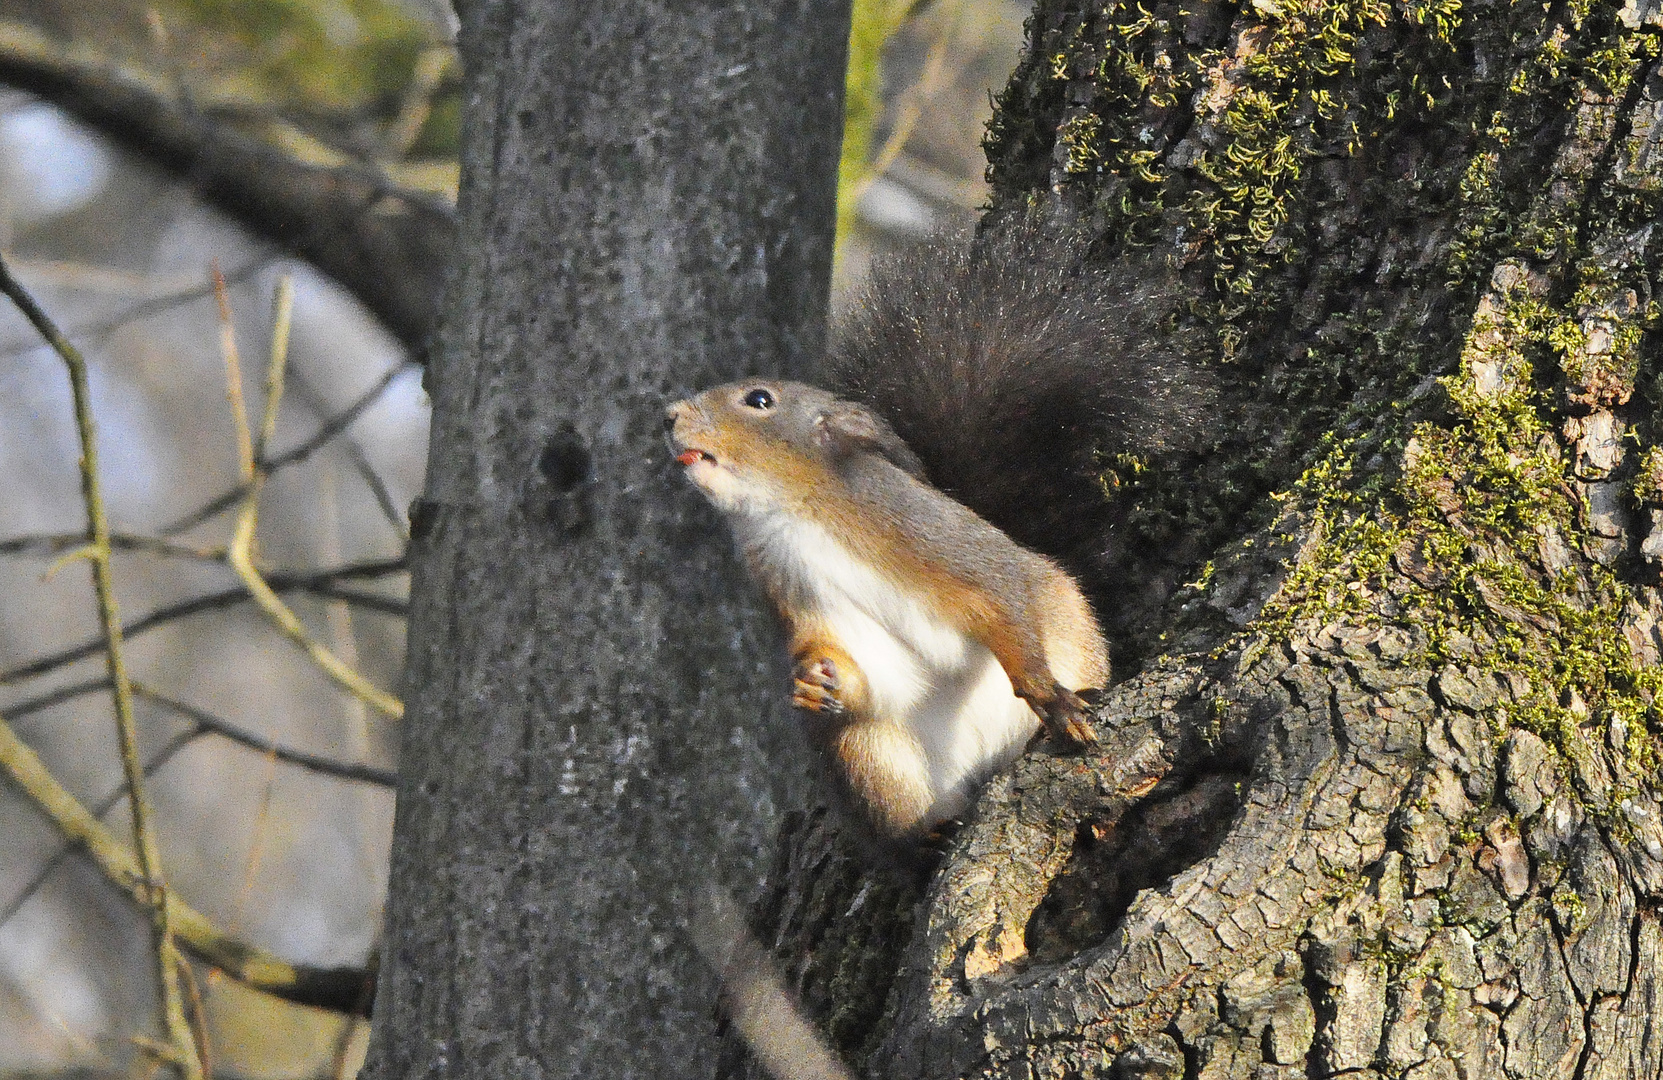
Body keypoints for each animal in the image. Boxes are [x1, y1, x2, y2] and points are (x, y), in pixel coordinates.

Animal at [661, 216, 1210, 842]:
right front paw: (816, 681)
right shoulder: (794, 593)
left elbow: (1002, 597)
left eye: (759, 400)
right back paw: (933, 832)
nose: (671, 416)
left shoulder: (931, 536)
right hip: (874, 760)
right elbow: (862, 668)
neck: (790, 515)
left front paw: (1048, 695)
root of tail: (980, 765)